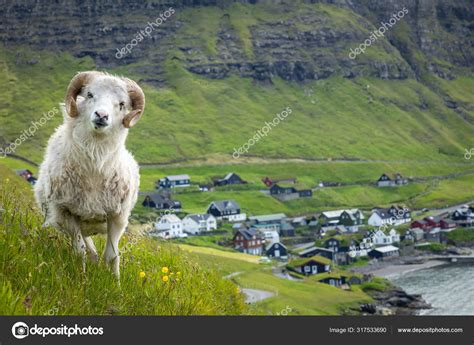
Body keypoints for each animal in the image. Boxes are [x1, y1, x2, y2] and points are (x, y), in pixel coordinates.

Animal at [34, 71, 144, 278]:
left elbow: (112, 256)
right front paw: (81, 279)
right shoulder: (66, 213)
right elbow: (80, 251)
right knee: (89, 250)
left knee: (95, 252)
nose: (101, 115)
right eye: (90, 94)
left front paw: (115, 283)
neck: (95, 167)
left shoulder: (118, 217)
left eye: (121, 104)